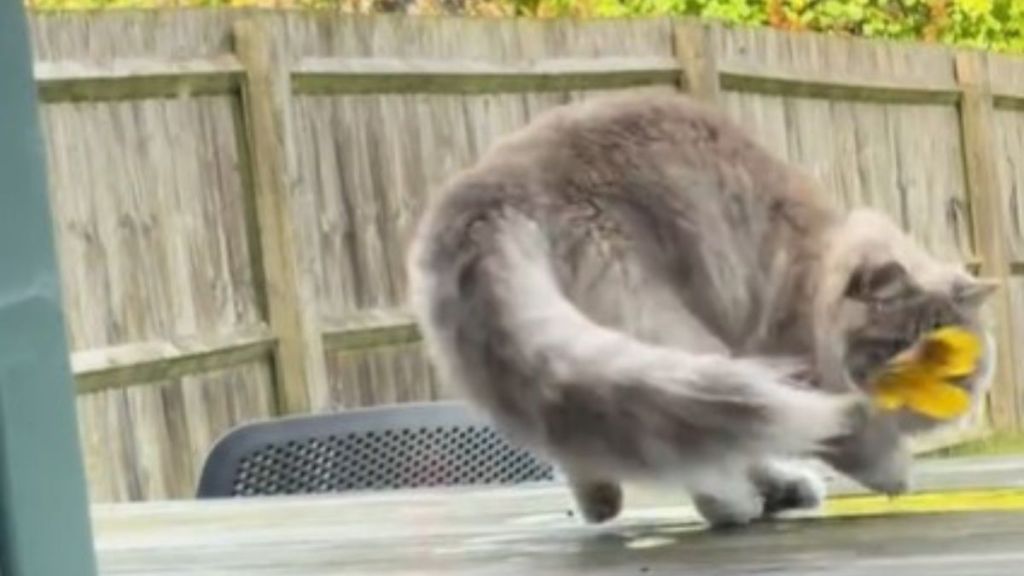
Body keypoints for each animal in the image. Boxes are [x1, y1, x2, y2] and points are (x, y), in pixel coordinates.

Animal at [403, 91, 995, 528]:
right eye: (895, 346)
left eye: (950, 366)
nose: (920, 393)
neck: (816, 272)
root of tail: (500, 177)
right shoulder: (801, 371)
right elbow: (845, 436)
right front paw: (890, 473)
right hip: (668, 331)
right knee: (691, 438)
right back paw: (730, 508)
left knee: (584, 426)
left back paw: (602, 500)